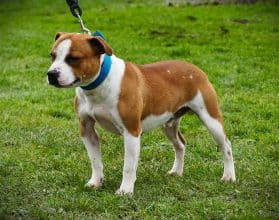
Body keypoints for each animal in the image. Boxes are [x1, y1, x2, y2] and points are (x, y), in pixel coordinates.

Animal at [47, 32, 236, 194]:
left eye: (73, 58)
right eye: (52, 55)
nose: (51, 74)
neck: (98, 84)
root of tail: (195, 68)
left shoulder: (131, 131)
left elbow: (129, 166)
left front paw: (125, 190)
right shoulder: (87, 129)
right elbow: (95, 160)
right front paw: (95, 182)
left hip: (211, 119)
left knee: (226, 146)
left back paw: (229, 176)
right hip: (168, 123)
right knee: (180, 144)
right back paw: (177, 172)